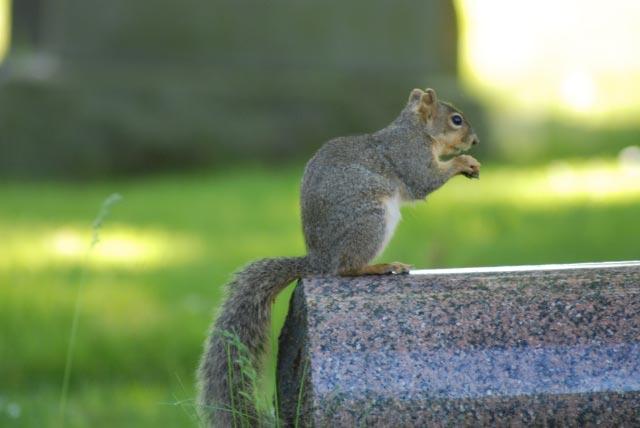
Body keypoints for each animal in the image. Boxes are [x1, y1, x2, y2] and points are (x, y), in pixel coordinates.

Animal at [198, 88, 480, 427]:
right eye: (456, 120)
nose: (475, 140)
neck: (415, 130)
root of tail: (319, 260)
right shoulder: (410, 156)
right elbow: (424, 181)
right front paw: (464, 161)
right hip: (370, 219)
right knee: (346, 268)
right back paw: (379, 267)